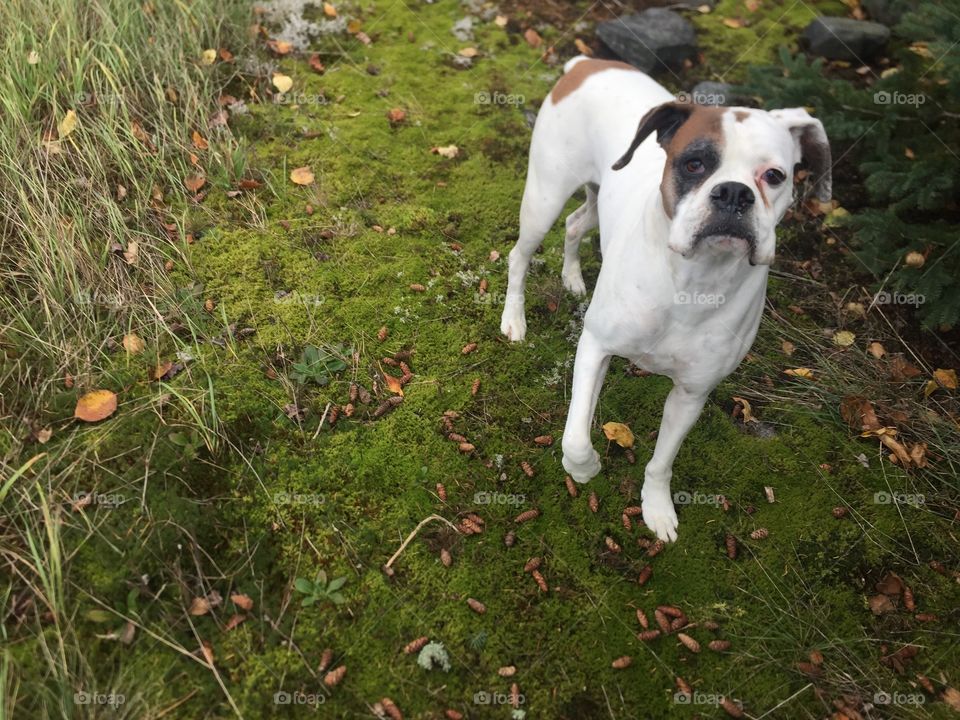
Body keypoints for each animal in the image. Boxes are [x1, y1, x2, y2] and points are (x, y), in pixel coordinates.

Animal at [498, 56, 828, 540]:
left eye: (774, 176)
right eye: (694, 164)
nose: (734, 192)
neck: (693, 282)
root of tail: (587, 62)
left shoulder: (692, 394)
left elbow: (662, 461)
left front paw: (656, 508)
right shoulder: (595, 347)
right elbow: (575, 436)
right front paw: (585, 470)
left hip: (595, 201)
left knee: (575, 225)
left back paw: (573, 277)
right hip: (544, 197)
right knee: (519, 255)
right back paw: (514, 319)